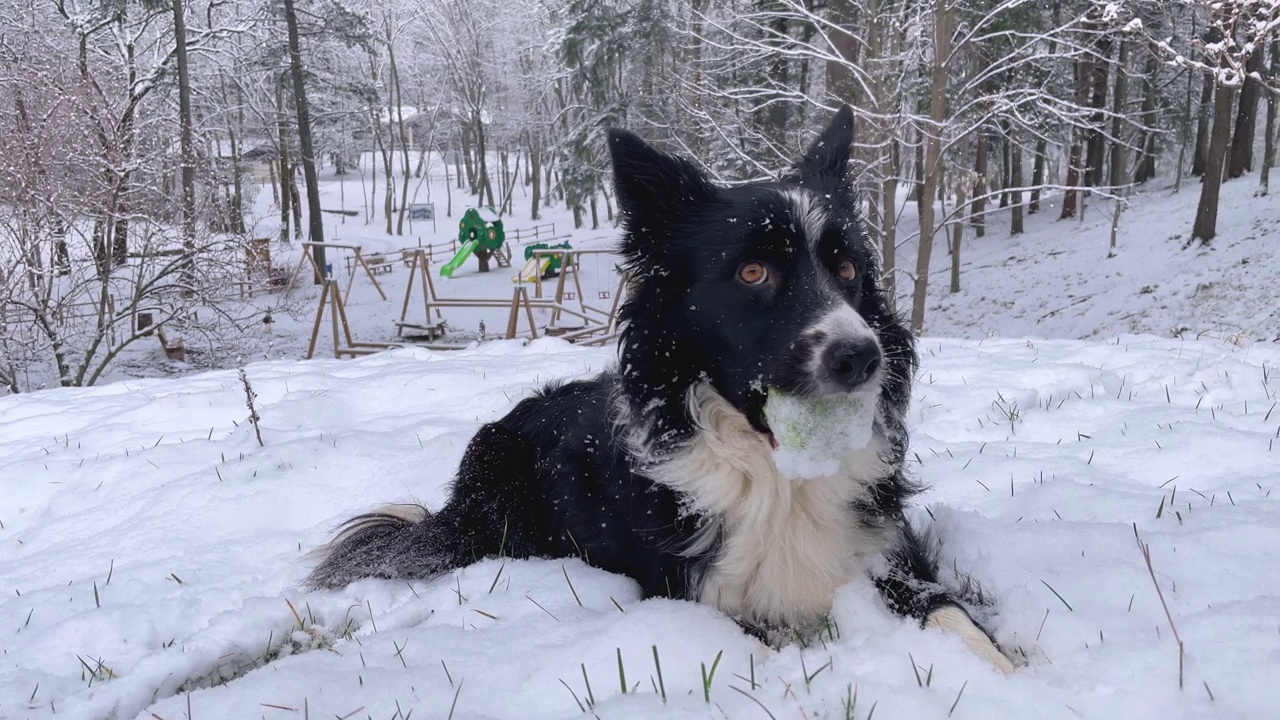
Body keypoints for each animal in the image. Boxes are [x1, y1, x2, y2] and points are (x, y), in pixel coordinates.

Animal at [307, 106, 1008, 671]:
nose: (862, 358)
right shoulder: (699, 591)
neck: (777, 472)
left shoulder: (887, 553)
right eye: (752, 272)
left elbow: (954, 617)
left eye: (846, 268)